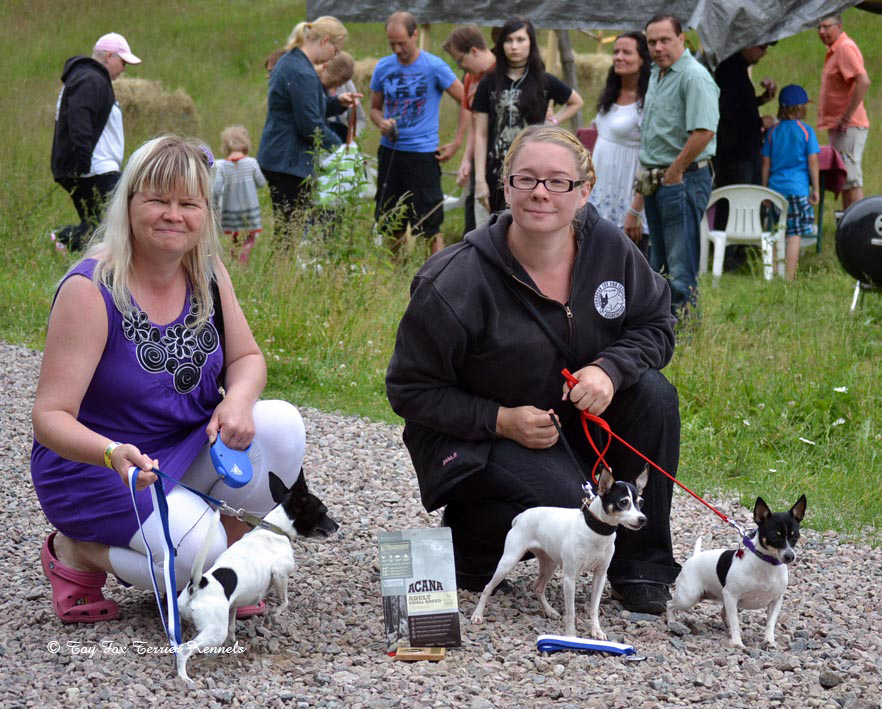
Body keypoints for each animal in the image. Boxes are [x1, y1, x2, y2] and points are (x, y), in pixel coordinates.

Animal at [176, 470, 338, 682]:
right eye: (323, 511)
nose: (337, 526)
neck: (275, 528)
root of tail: (198, 584)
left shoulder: (232, 607)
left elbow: (232, 626)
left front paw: (232, 643)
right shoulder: (279, 572)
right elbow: (284, 601)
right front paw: (275, 614)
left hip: (187, 622)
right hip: (213, 631)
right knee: (184, 650)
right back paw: (185, 678)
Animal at [471, 466, 648, 639]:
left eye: (640, 502)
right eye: (623, 502)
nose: (643, 519)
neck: (595, 531)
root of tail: (521, 516)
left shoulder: (600, 575)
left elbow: (594, 608)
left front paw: (596, 630)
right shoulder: (569, 578)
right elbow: (571, 612)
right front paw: (570, 635)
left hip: (550, 565)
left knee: (538, 587)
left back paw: (549, 611)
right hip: (509, 561)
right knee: (487, 588)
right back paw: (477, 615)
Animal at [666, 495, 806, 649]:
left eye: (796, 536)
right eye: (775, 537)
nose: (790, 556)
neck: (767, 564)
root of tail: (694, 557)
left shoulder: (776, 601)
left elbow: (770, 623)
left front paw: (769, 640)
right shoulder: (731, 596)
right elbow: (735, 623)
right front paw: (737, 642)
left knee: (723, 613)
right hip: (688, 597)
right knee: (670, 604)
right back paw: (672, 623)